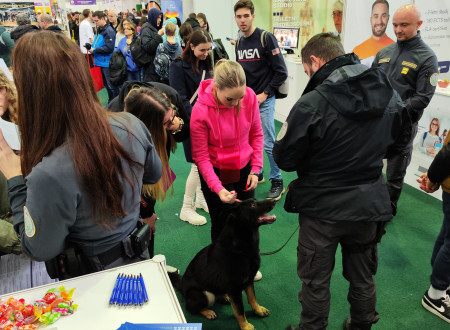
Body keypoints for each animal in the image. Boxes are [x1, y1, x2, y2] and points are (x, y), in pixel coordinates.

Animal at [169, 197, 276, 328]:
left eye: (255, 200)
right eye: (252, 205)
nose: (274, 200)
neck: (241, 247)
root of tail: (182, 286)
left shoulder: (249, 281)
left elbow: (252, 298)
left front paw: (258, 310)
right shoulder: (235, 288)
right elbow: (240, 310)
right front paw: (245, 326)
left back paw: (224, 297)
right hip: (205, 294)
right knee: (191, 308)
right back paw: (208, 311)